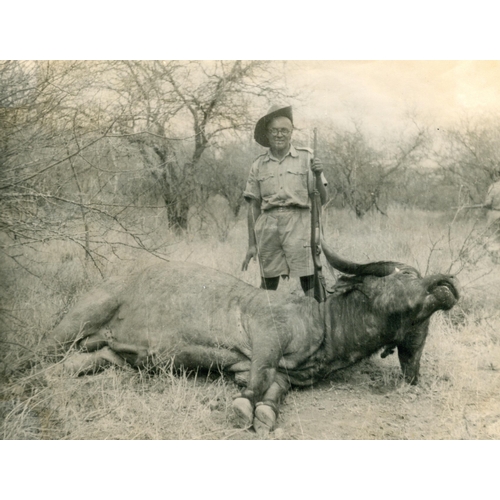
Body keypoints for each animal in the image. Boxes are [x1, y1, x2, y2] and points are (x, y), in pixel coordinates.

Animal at [48, 244, 458, 436]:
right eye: (406, 275)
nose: (446, 283)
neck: (323, 323)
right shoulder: (265, 341)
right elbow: (259, 378)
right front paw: (244, 405)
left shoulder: (283, 377)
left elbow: (273, 391)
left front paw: (266, 412)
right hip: (74, 324)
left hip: (102, 356)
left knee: (63, 369)